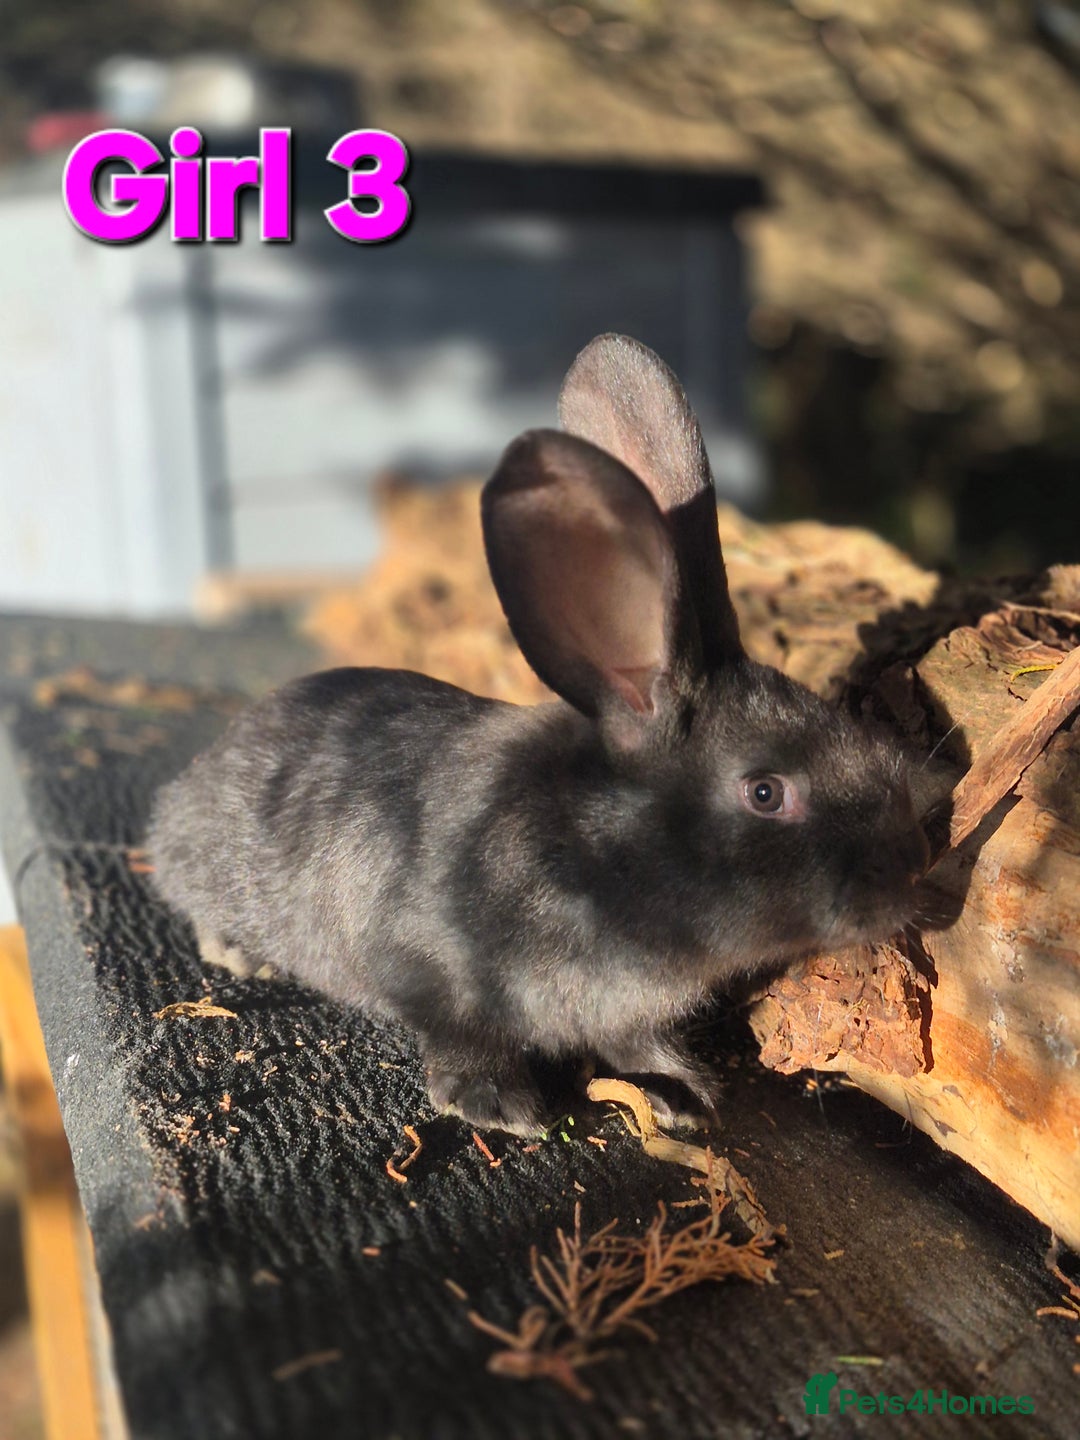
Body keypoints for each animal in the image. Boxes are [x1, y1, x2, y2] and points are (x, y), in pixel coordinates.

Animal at [148, 333, 931, 1136]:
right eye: (766, 792)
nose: (914, 869)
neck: (596, 854)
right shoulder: (424, 964)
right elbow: (458, 1032)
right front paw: (498, 1103)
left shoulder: (628, 1013)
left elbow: (635, 1042)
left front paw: (682, 1092)